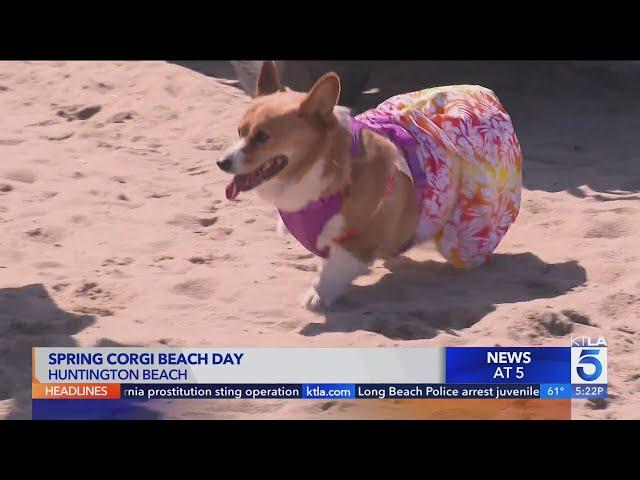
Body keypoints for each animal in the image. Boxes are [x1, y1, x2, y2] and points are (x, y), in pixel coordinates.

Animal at [218, 62, 524, 310]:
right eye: (239, 131)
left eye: (263, 137)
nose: (222, 162)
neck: (320, 166)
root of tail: (487, 95)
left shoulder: (359, 242)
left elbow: (333, 271)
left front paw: (317, 295)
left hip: (468, 230)